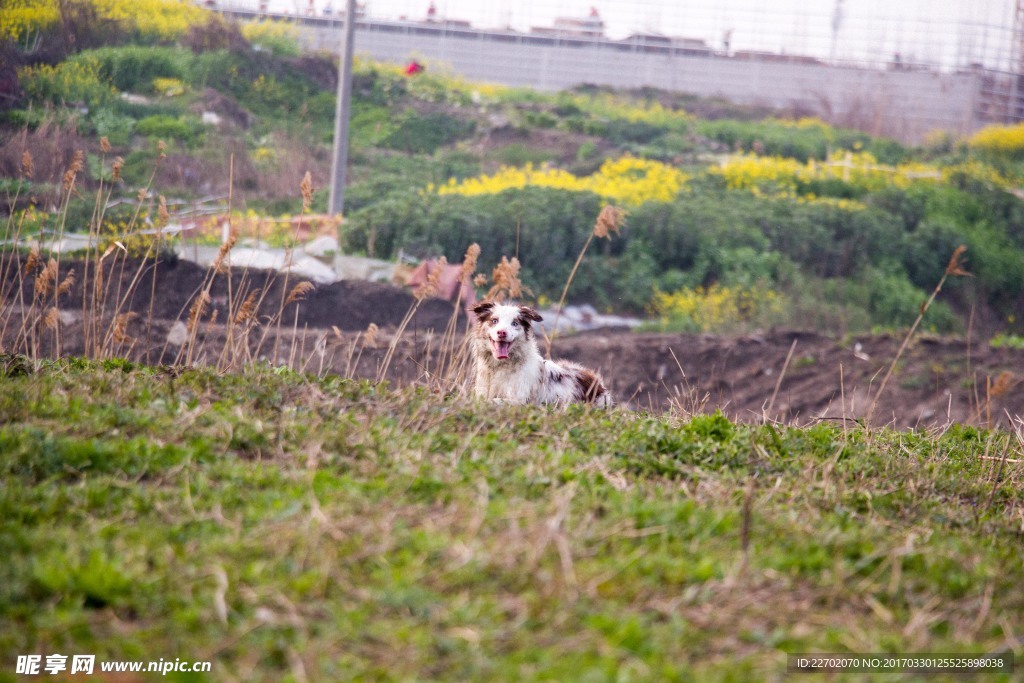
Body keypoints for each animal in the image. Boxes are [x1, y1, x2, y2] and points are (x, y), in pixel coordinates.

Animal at [468, 301, 610, 405]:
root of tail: (597, 383)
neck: (501, 366)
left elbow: (494, 401)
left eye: (514, 323)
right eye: (494, 320)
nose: (502, 332)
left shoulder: (519, 400)